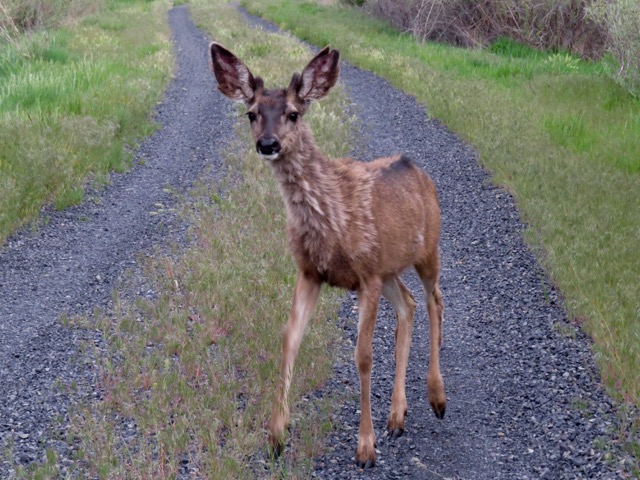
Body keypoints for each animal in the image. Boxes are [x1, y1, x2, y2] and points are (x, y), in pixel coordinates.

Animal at [209, 42, 446, 469]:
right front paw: (276, 436)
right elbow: (289, 340)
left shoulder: (366, 274)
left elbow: (363, 355)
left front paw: (365, 447)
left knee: (435, 300)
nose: (268, 144)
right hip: (390, 268)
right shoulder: (310, 272)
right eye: (252, 113)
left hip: (428, 248)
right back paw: (397, 417)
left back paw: (436, 398)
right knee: (409, 304)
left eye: (293, 113)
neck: (330, 215)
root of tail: (420, 172)